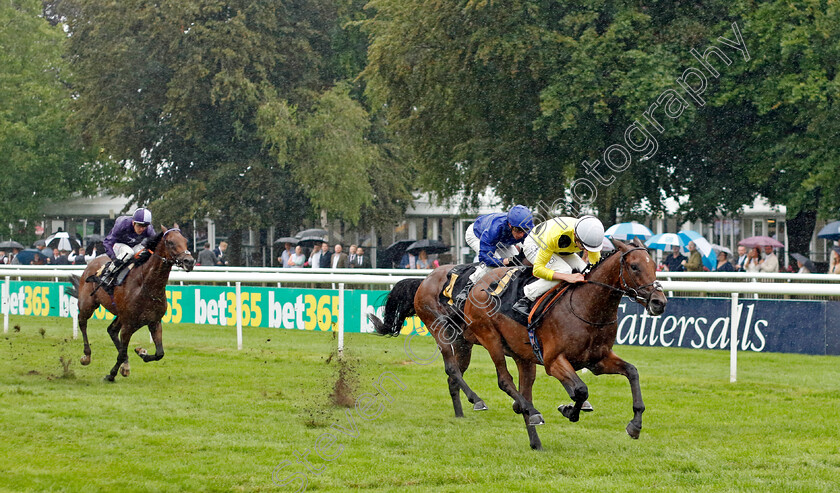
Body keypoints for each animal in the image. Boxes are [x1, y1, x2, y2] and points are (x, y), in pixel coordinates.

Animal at [69, 227, 195, 380]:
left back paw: (126, 365)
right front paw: (111, 375)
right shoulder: (129, 324)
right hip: (88, 304)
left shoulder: (154, 322)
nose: (189, 261)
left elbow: (159, 353)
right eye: (170, 242)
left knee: (111, 330)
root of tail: (93, 262)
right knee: (82, 322)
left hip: (122, 317)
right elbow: (122, 352)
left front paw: (141, 352)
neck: (146, 286)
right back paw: (87, 356)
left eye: (186, 241)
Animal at [370, 238, 668, 450]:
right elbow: (580, 390)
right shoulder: (554, 361)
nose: (659, 302)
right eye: (634, 266)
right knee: (488, 377)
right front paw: (569, 409)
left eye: (653, 265)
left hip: (480, 346)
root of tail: (425, 280)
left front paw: (635, 425)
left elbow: (632, 372)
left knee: (467, 378)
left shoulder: (597, 360)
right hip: (465, 334)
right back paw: (489, 403)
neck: (586, 306)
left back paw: (524, 431)